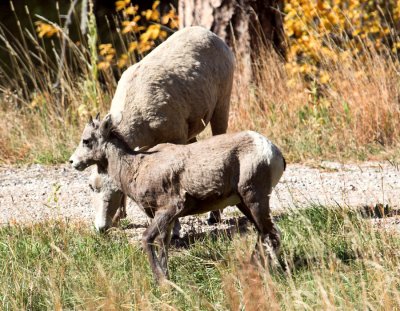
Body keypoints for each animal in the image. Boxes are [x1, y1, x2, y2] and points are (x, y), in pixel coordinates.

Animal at [70, 116, 286, 284]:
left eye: (86, 140)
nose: (72, 162)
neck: (136, 167)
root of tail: (273, 151)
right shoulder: (167, 220)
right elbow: (163, 245)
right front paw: (166, 277)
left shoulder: (169, 209)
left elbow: (147, 239)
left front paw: (162, 282)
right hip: (243, 203)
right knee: (263, 235)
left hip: (254, 199)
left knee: (271, 235)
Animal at [88, 26, 234, 232]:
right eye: (92, 187)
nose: (101, 227)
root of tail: (209, 34)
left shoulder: (176, 139)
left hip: (222, 106)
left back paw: (214, 217)